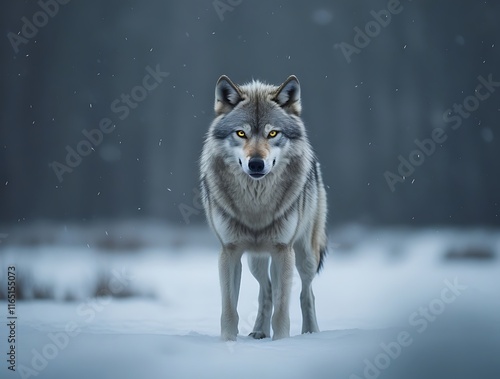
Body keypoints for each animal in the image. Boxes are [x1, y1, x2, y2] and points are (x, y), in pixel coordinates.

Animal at [200, 75, 328, 342]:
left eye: (272, 133)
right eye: (241, 133)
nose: (256, 164)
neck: (256, 205)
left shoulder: (282, 251)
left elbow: (282, 311)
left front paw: (281, 343)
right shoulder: (229, 252)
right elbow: (229, 310)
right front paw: (227, 342)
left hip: (305, 256)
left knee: (306, 292)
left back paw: (311, 332)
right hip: (255, 260)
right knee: (266, 289)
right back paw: (259, 330)